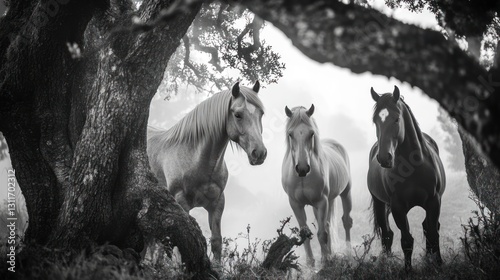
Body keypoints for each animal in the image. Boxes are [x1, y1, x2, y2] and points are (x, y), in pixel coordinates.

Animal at [147, 82, 268, 262]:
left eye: (261, 114)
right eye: (238, 115)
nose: (259, 153)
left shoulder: (217, 203)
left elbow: (216, 241)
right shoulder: (181, 201)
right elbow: (182, 243)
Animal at [282, 105, 352, 266]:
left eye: (311, 133)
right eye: (290, 134)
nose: (302, 168)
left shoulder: (321, 202)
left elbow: (322, 234)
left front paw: (326, 260)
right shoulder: (296, 204)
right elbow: (305, 234)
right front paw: (310, 263)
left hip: (345, 193)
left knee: (346, 222)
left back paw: (348, 252)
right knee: (327, 224)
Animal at [368, 86, 446, 272]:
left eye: (396, 119)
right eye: (375, 121)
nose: (384, 158)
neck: (412, 166)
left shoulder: (434, 202)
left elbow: (433, 234)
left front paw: (438, 264)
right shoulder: (398, 207)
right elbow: (406, 240)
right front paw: (408, 270)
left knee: (428, 228)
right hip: (379, 203)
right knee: (387, 233)